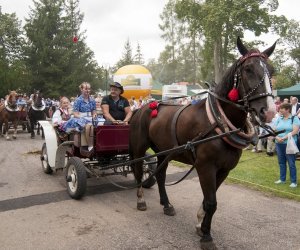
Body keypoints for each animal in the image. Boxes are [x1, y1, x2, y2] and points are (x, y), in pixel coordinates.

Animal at [129, 37, 276, 242]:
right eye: (248, 69)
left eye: (271, 71)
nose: (268, 111)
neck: (218, 122)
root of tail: (141, 108)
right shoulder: (205, 166)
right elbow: (212, 202)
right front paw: (206, 235)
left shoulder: (224, 169)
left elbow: (208, 201)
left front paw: (200, 224)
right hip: (139, 148)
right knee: (137, 170)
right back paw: (141, 199)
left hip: (163, 151)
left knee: (160, 175)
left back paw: (166, 204)